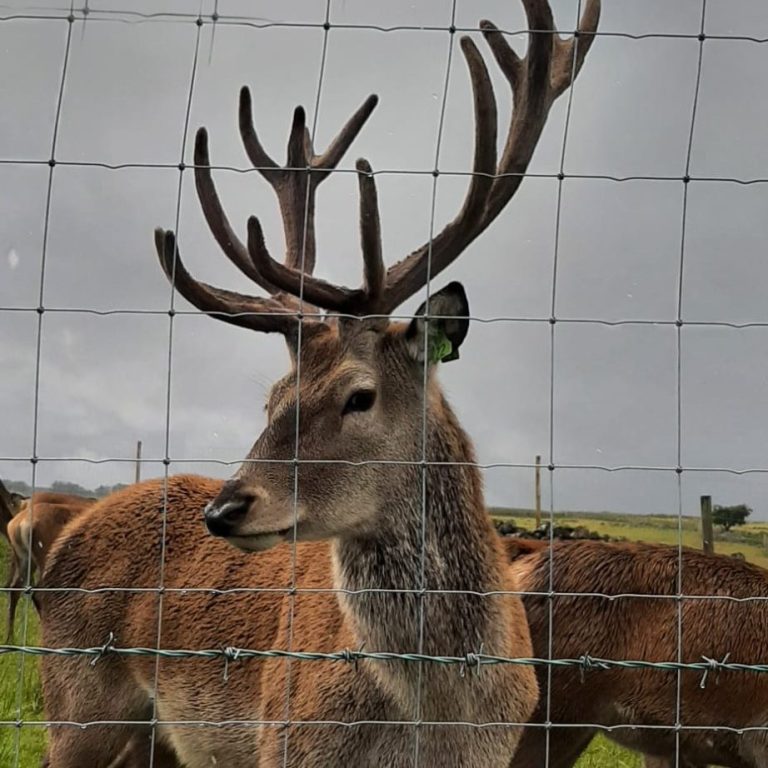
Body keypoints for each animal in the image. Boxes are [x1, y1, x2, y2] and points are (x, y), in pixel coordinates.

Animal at [38, 2, 600, 766]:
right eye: (270, 399)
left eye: (359, 396)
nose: (224, 510)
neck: (438, 720)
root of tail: (61, 538)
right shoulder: (285, 741)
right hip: (75, 704)